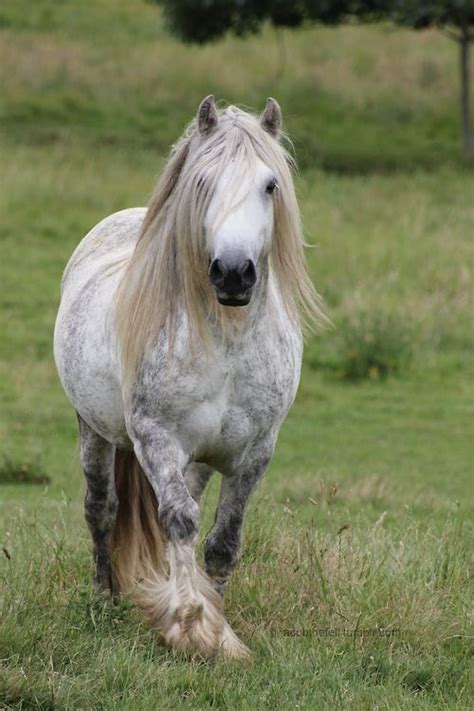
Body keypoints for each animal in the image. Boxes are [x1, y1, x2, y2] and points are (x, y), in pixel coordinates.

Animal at [53, 96, 324, 660]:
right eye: (204, 183)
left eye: (271, 185)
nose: (234, 272)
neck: (226, 341)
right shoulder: (157, 438)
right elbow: (177, 519)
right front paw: (191, 624)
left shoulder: (255, 452)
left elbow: (223, 541)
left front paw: (215, 623)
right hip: (94, 431)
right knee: (101, 510)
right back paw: (105, 598)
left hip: (197, 459)